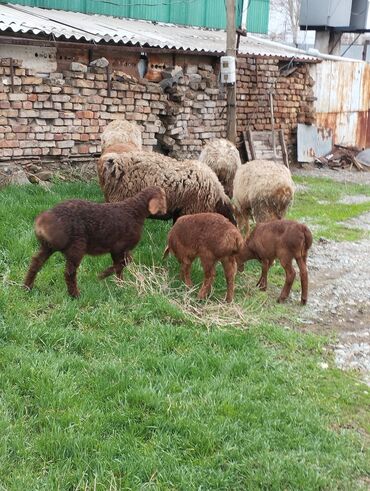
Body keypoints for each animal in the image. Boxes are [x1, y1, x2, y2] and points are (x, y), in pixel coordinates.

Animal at [24, 186, 166, 298]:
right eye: (164, 197)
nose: (165, 212)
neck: (135, 211)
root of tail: (44, 220)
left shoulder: (120, 249)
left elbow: (123, 264)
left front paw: (121, 284)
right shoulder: (119, 247)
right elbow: (122, 264)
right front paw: (103, 275)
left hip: (48, 246)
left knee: (36, 262)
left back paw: (27, 287)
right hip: (77, 246)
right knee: (69, 272)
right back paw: (75, 295)